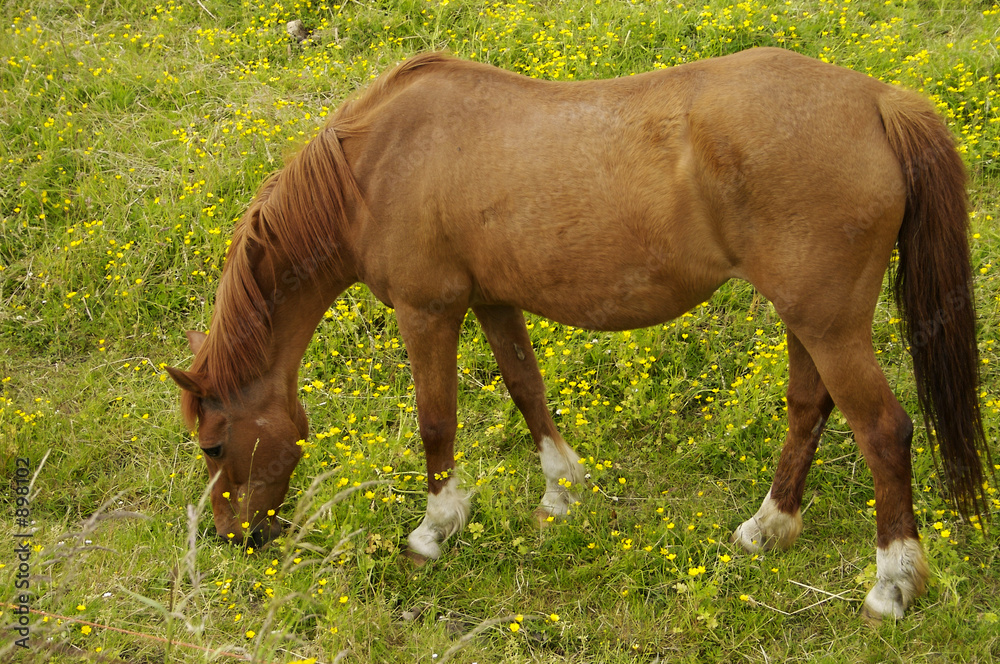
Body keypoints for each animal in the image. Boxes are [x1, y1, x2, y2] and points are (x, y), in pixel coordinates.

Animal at [166, 47, 991, 620]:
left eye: (215, 445)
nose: (233, 534)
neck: (375, 164)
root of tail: (878, 100)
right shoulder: (494, 301)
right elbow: (525, 387)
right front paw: (562, 491)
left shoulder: (427, 309)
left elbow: (437, 421)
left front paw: (435, 529)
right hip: (806, 321)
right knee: (808, 410)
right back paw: (769, 528)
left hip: (831, 325)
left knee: (884, 431)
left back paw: (891, 585)